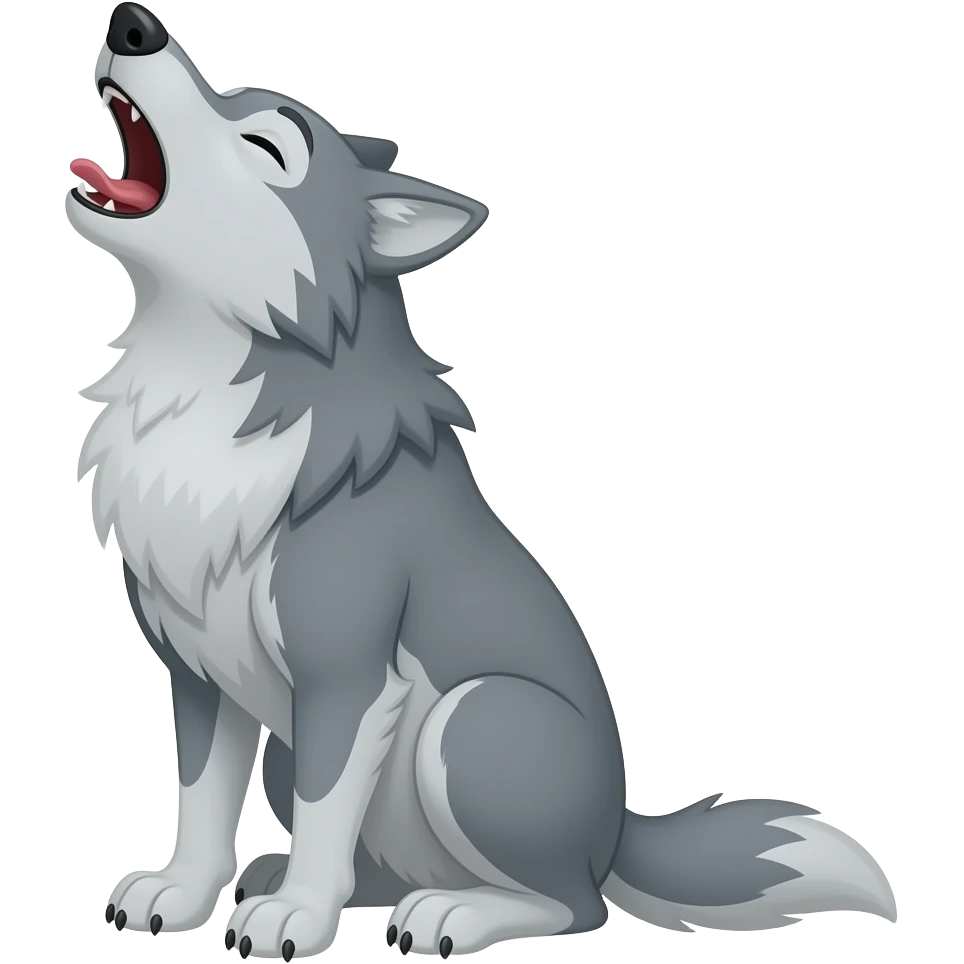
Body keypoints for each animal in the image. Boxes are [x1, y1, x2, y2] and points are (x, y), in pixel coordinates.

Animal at [68, 3, 899, 960]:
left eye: (267, 144)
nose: (133, 23)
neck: (201, 384)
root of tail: (617, 828)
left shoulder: (346, 676)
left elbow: (325, 806)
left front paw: (299, 920)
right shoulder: (200, 674)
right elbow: (202, 798)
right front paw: (184, 893)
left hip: (474, 725)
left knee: (573, 903)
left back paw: (453, 914)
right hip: (320, 751)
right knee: (389, 868)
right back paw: (317, 883)